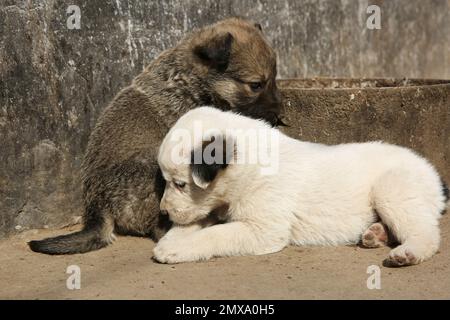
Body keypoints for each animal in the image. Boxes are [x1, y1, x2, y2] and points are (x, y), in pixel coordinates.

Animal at [28, 18, 282, 255]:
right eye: (256, 85)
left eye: (274, 79)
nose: (279, 114)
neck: (193, 79)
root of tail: (99, 207)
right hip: (153, 167)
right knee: (161, 227)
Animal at [154, 106, 446, 266]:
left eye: (180, 184)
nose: (163, 212)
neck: (250, 161)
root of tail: (434, 175)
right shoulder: (216, 205)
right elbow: (198, 220)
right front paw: (173, 238)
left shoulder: (264, 228)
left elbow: (218, 233)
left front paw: (176, 248)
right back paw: (376, 234)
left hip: (393, 188)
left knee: (425, 232)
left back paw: (408, 252)